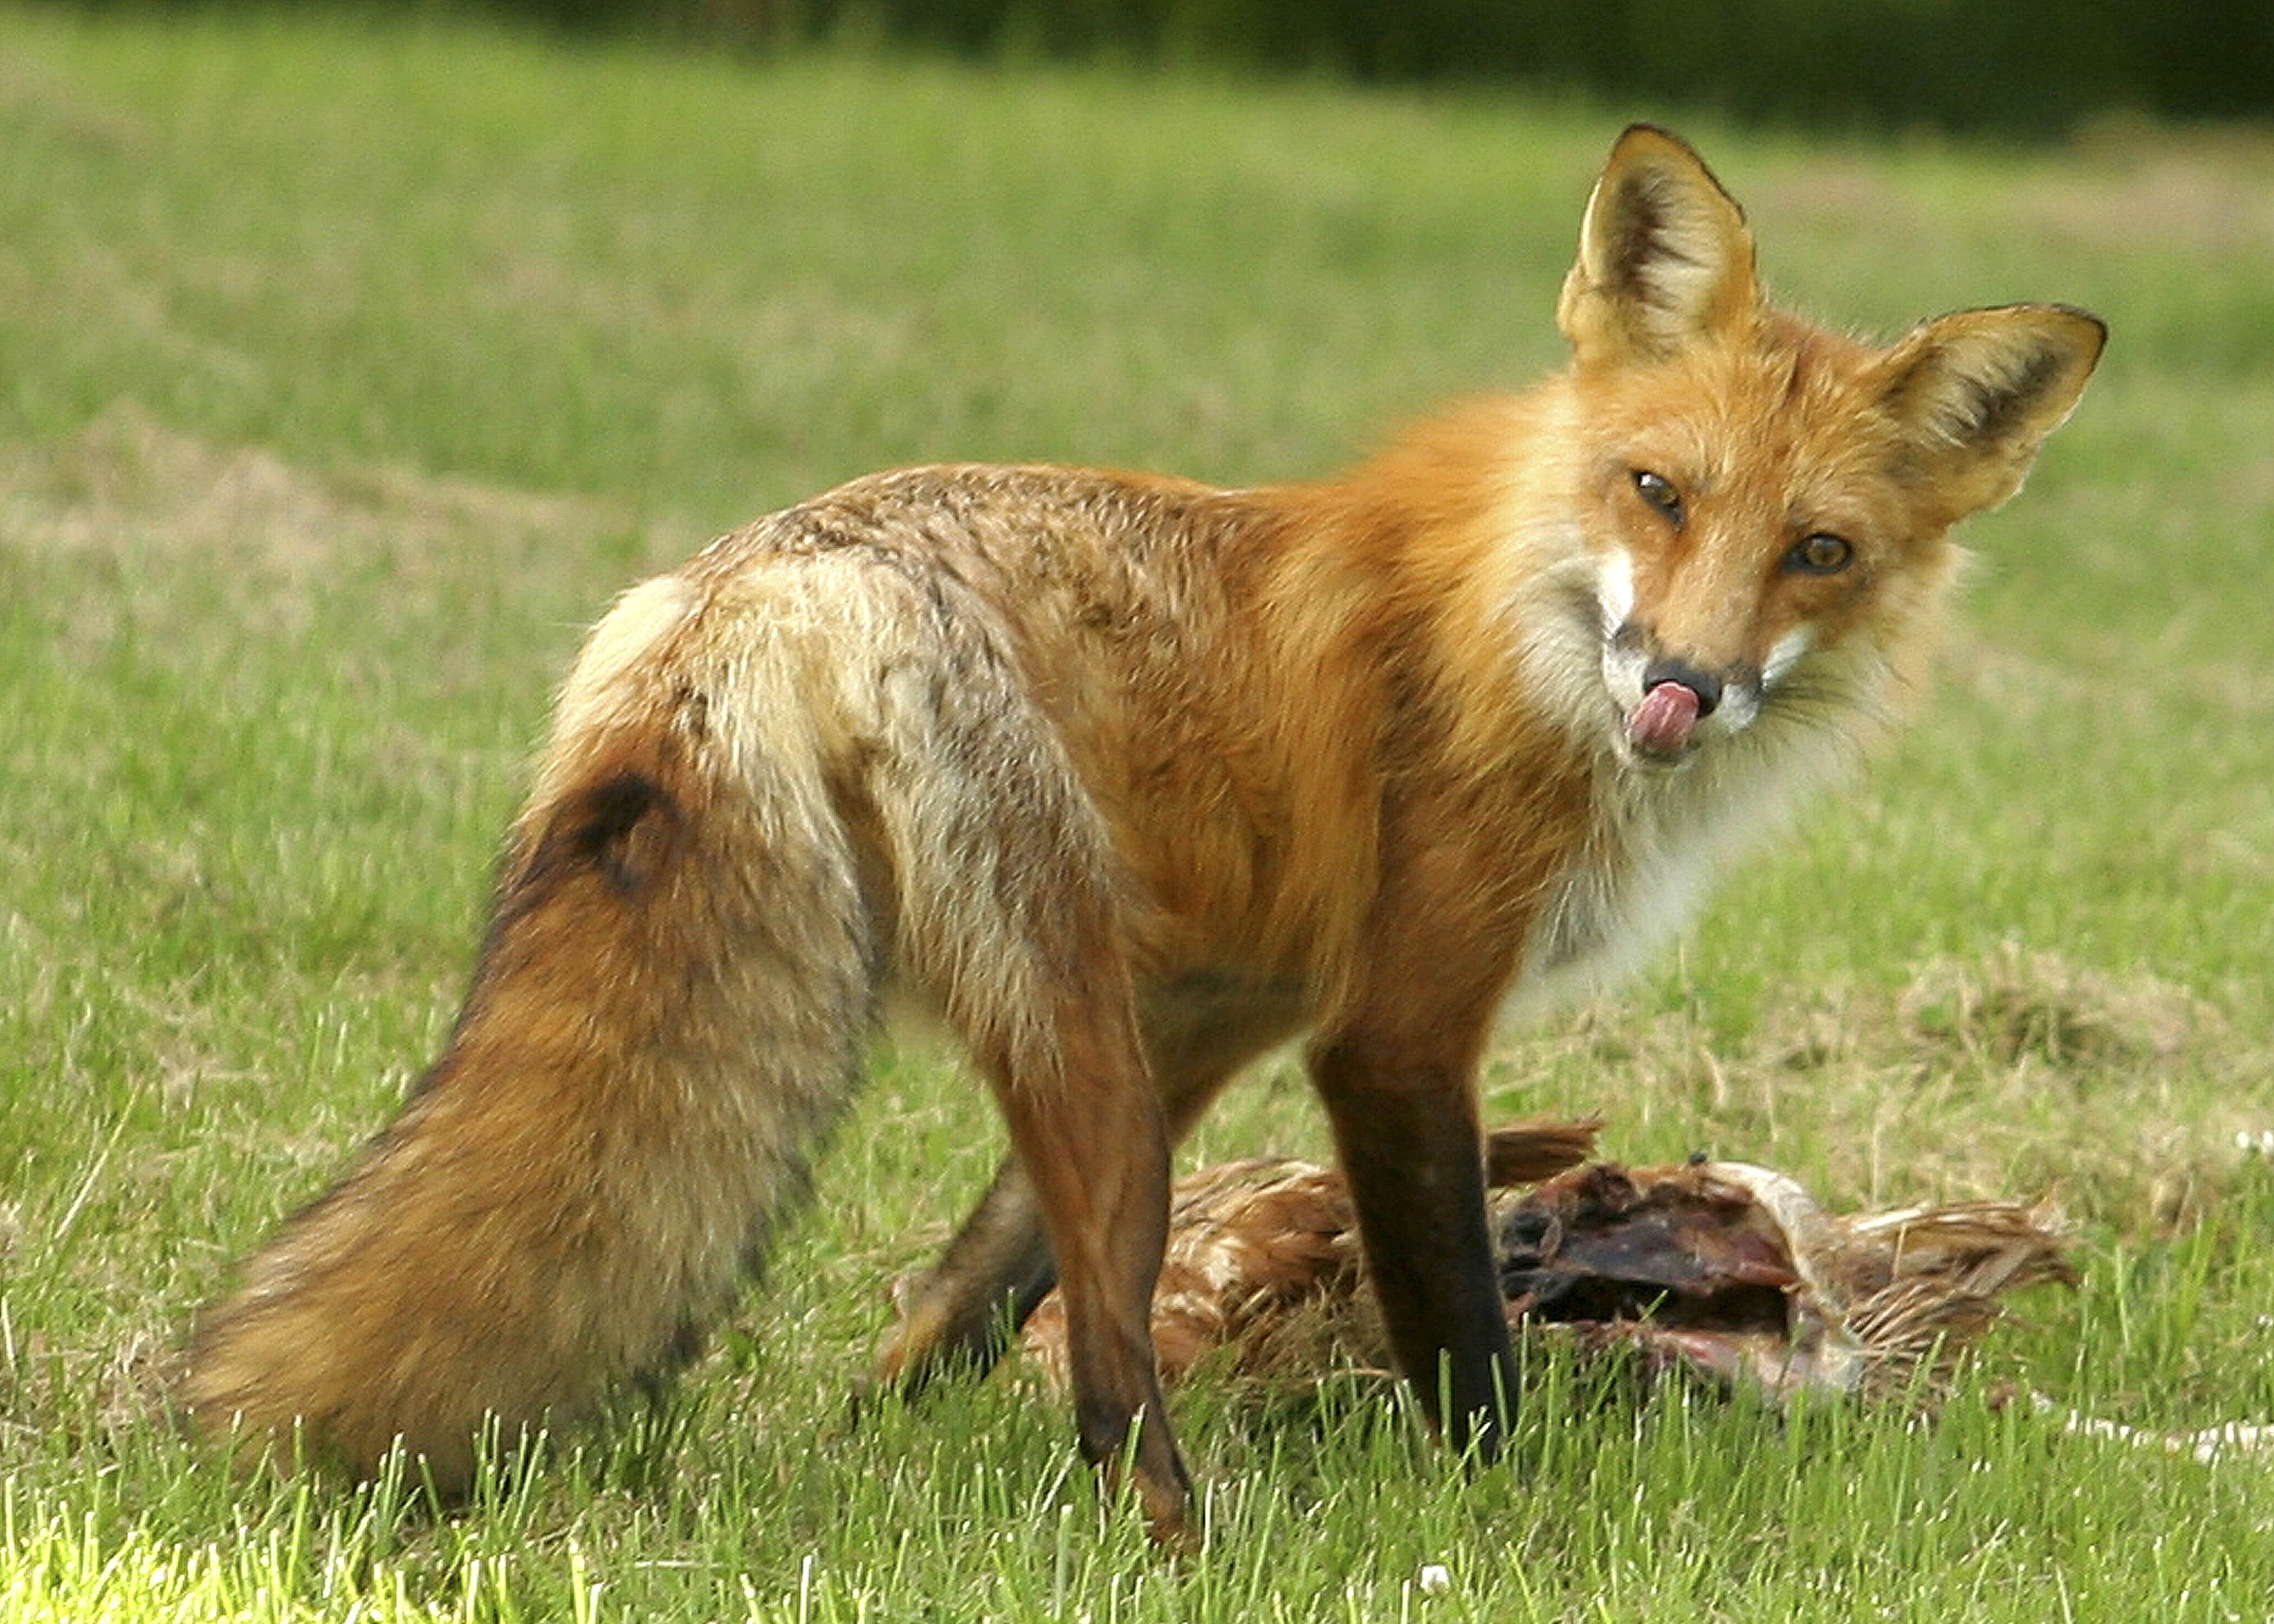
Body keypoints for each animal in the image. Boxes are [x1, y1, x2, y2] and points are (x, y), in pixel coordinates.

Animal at [186, 123, 2101, 1528]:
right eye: (1658, 493)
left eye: (1819, 553)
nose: (1685, 686)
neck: (1522, 620)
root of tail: (758, 578)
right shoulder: (1391, 1037)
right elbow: (1463, 1344)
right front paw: (1516, 1528)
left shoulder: (1218, 1020)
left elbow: (945, 1308)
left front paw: (868, 1445)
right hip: (1085, 1048)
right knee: (1118, 1390)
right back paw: (1189, 1546)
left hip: (1102, 1064)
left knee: (1032, 1335)